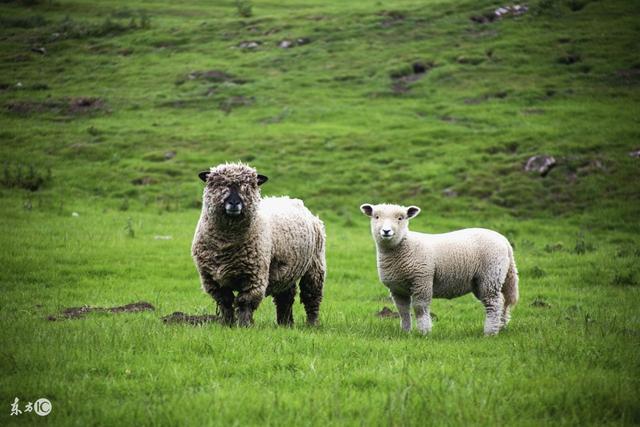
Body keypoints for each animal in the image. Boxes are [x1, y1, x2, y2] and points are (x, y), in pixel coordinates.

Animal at [191, 164, 324, 328]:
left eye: (249, 186)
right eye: (218, 184)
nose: (234, 203)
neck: (226, 244)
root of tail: (290, 199)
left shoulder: (254, 275)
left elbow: (244, 302)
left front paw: (244, 326)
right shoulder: (212, 279)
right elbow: (225, 302)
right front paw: (227, 325)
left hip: (315, 266)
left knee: (311, 296)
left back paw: (311, 324)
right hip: (287, 270)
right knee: (285, 297)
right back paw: (285, 324)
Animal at [362, 204, 516, 338]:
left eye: (400, 218)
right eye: (376, 217)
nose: (386, 231)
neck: (404, 246)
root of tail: (504, 240)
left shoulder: (422, 280)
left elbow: (420, 308)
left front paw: (424, 332)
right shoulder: (397, 288)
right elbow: (403, 311)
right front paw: (405, 331)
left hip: (491, 274)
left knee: (494, 303)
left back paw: (490, 333)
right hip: (482, 281)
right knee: (502, 301)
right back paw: (501, 326)